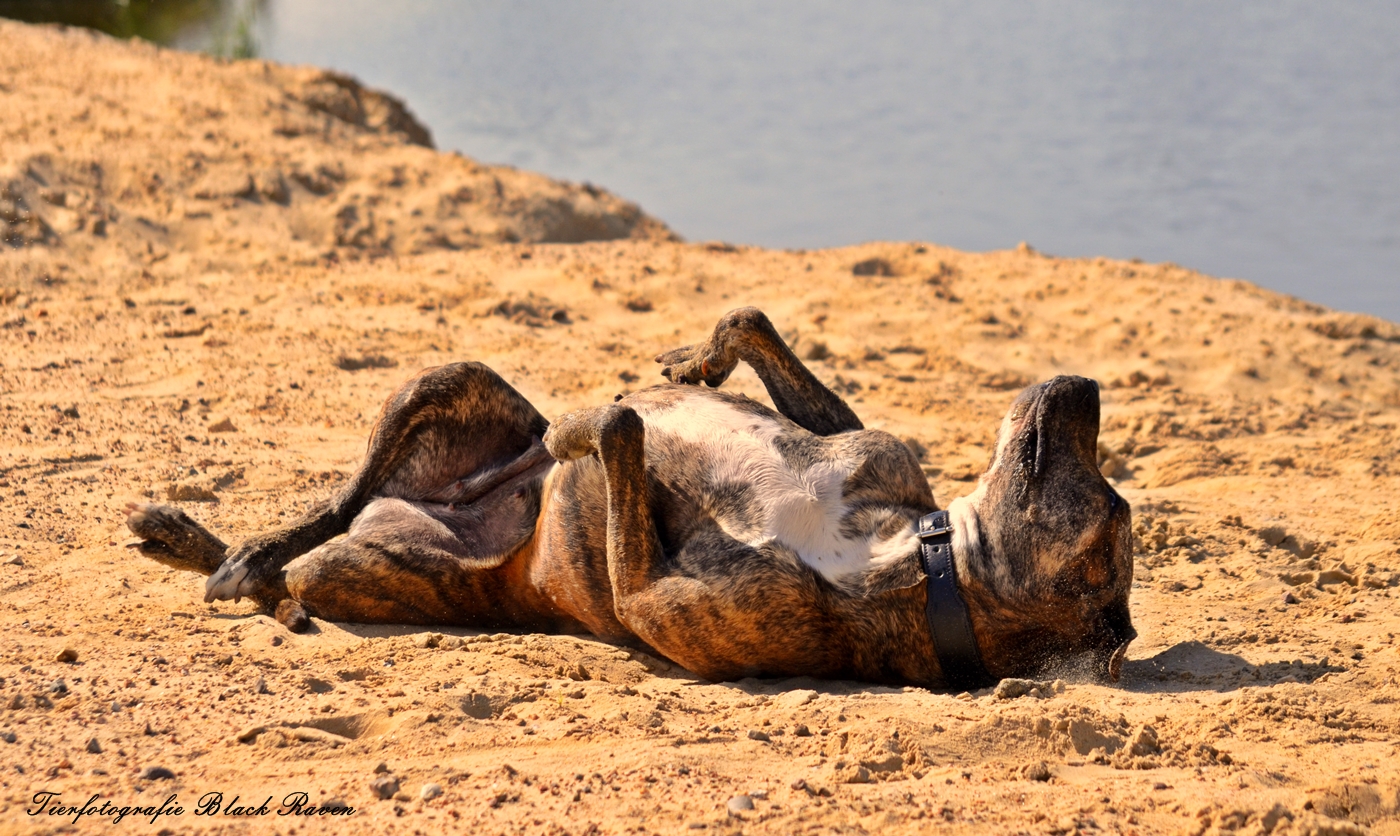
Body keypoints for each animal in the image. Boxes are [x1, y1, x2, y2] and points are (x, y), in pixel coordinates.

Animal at [126, 305, 1136, 683]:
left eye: (1111, 514)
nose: (1087, 386)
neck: (919, 553)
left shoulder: (657, 599)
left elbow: (614, 430)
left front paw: (586, 427)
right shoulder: (863, 448)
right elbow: (749, 324)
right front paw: (692, 363)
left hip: (370, 567)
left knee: (303, 567)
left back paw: (237, 568)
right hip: (443, 382)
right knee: (332, 501)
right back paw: (218, 541)